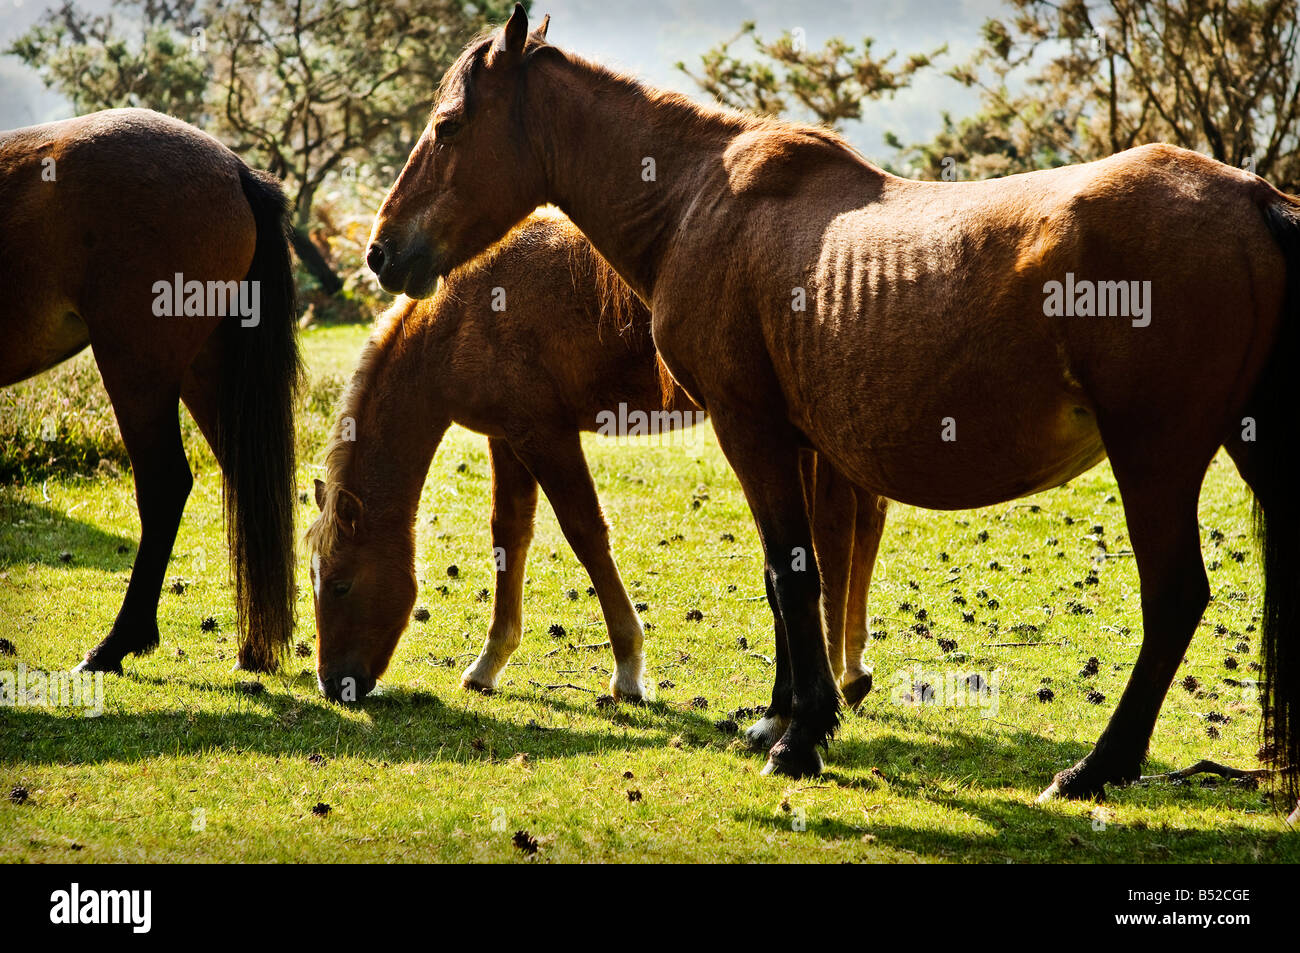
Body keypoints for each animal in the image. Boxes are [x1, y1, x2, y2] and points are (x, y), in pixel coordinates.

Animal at [1, 109, 299, 670]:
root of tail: (235, 171)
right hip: (207, 372)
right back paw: (254, 648)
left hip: (137, 368)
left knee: (164, 484)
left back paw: (117, 643)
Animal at [304, 213, 883, 707]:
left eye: (340, 584)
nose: (333, 684)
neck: (463, 314)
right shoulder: (507, 438)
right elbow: (509, 534)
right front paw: (490, 663)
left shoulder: (546, 435)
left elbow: (584, 534)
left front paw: (628, 669)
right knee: (863, 520)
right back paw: (851, 666)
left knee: (839, 527)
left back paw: (837, 667)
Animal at [366, 3, 1300, 800]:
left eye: (449, 127)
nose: (381, 251)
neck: (694, 201)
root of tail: (1253, 196)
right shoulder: (791, 439)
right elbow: (794, 570)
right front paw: (781, 713)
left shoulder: (748, 427)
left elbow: (794, 569)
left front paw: (802, 734)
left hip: (1156, 457)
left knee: (1173, 598)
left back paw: (1095, 768)